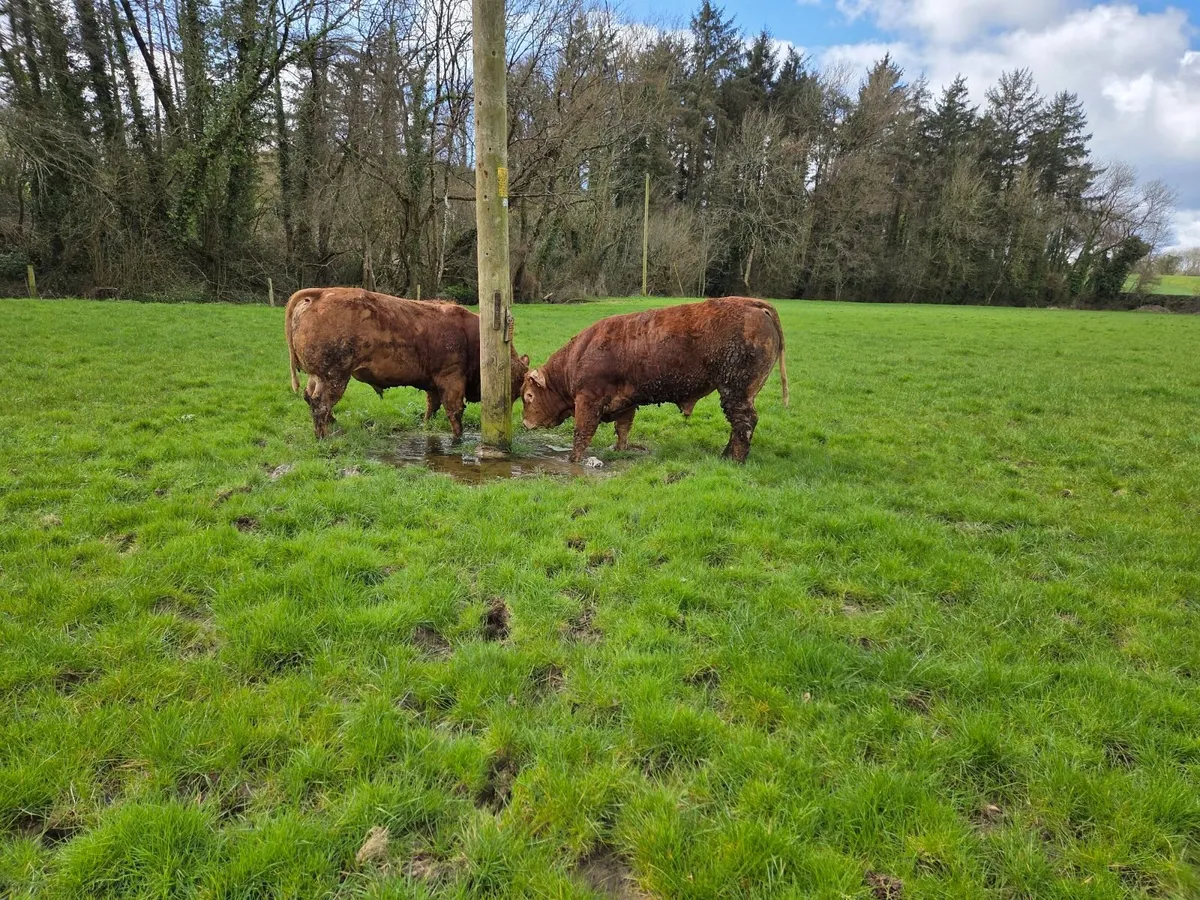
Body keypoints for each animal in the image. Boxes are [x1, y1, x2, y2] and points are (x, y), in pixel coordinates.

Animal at [285, 288, 529, 440]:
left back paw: (333, 425)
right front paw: (458, 438)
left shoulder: (434, 383)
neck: (470, 335)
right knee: (320, 404)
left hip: (317, 376)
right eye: (516, 382)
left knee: (310, 397)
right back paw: (324, 436)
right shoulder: (451, 379)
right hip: (334, 377)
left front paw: (426, 426)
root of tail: (321, 294)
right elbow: (454, 411)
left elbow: (432, 407)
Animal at [519, 297, 788, 463]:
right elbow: (623, 429)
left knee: (744, 423)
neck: (580, 354)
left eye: (528, 396)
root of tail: (752, 303)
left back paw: (734, 460)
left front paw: (573, 460)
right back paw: (725, 455)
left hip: (736, 389)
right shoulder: (626, 401)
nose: (524, 424)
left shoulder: (588, 400)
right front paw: (619, 450)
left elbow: (581, 433)